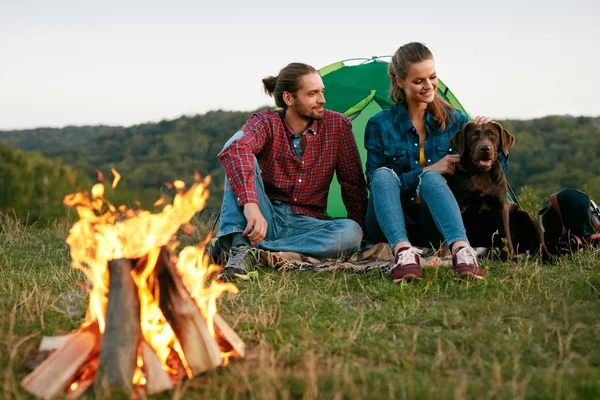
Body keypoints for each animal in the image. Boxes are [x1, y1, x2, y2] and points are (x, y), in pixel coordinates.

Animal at [452, 121, 552, 260]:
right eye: (474, 136)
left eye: (493, 135)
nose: (485, 148)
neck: (480, 174)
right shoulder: (461, 206)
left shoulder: (500, 206)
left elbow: (505, 235)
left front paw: (511, 258)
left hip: (526, 217)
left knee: (541, 247)